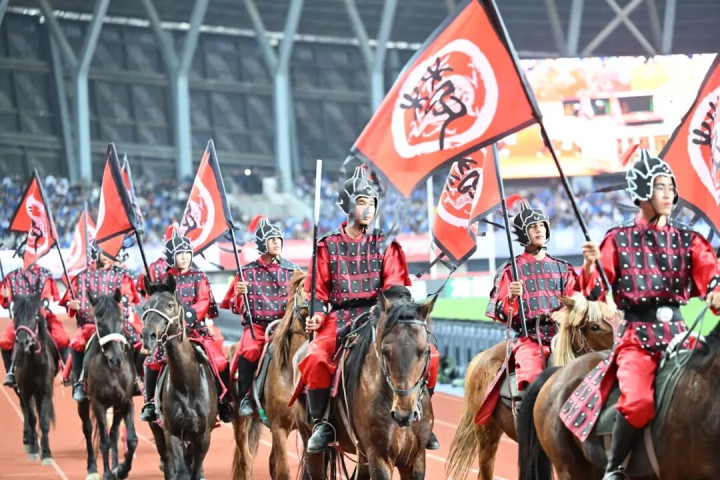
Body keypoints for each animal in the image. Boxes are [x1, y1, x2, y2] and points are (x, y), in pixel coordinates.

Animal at [11, 294, 58, 465]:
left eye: (35, 315)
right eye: (16, 315)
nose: (23, 341)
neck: (33, 361)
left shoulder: (45, 390)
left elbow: (43, 421)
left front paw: (47, 453)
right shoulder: (25, 391)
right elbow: (32, 419)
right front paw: (33, 450)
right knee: (25, 411)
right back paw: (29, 441)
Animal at [78, 289, 138, 480]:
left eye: (121, 319)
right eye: (100, 322)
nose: (116, 359)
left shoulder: (126, 402)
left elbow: (132, 439)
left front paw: (121, 469)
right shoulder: (98, 404)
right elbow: (103, 442)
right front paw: (106, 473)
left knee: (114, 433)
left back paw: (115, 466)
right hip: (84, 403)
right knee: (88, 429)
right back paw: (93, 468)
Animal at [141, 274, 217, 480]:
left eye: (170, 305)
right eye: (145, 307)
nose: (148, 336)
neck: (187, 384)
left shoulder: (203, 437)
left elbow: (195, 472)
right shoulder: (172, 434)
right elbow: (181, 472)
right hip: (158, 431)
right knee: (168, 464)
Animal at [295, 286, 435, 480]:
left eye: (425, 351)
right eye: (385, 351)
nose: (404, 414)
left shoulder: (416, 459)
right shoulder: (379, 457)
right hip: (309, 438)